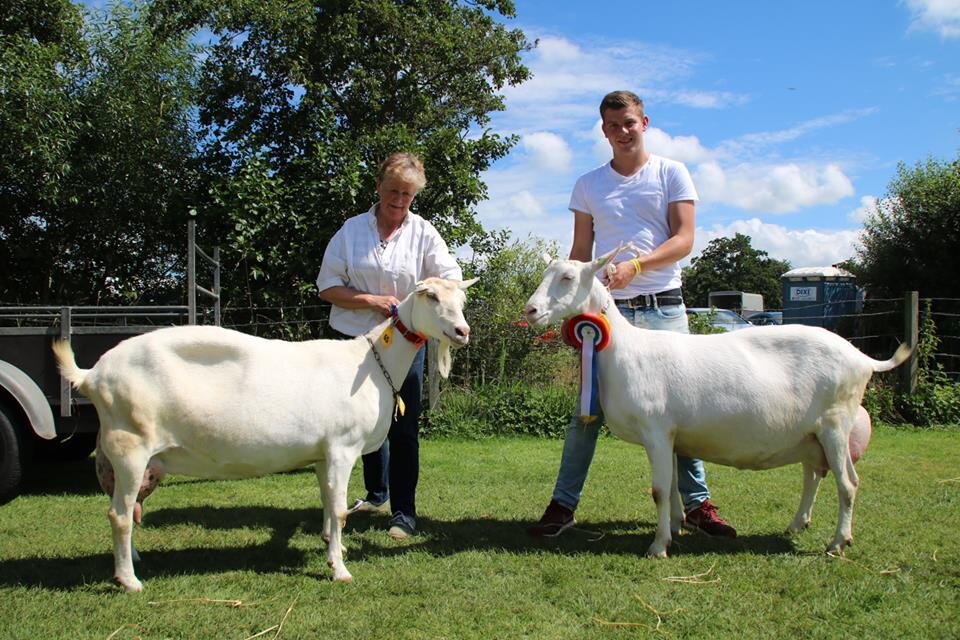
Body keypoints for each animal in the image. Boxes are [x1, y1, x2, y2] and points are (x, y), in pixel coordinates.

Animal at [54, 276, 474, 592]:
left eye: (462, 298)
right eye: (431, 296)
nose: (462, 331)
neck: (371, 363)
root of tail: (92, 375)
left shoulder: (322, 453)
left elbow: (327, 504)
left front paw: (332, 550)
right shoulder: (342, 446)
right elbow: (340, 510)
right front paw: (340, 571)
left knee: (127, 509)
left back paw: (133, 560)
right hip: (130, 446)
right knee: (119, 514)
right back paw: (129, 580)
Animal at [524, 250, 908, 560]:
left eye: (568, 277)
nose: (531, 310)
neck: (625, 350)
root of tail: (863, 359)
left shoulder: (656, 429)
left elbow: (659, 491)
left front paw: (658, 547)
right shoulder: (672, 435)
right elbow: (672, 489)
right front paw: (674, 529)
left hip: (836, 423)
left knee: (848, 483)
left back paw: (838, 542)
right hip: (811, 433)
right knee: (814, 473)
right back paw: (797, 524)